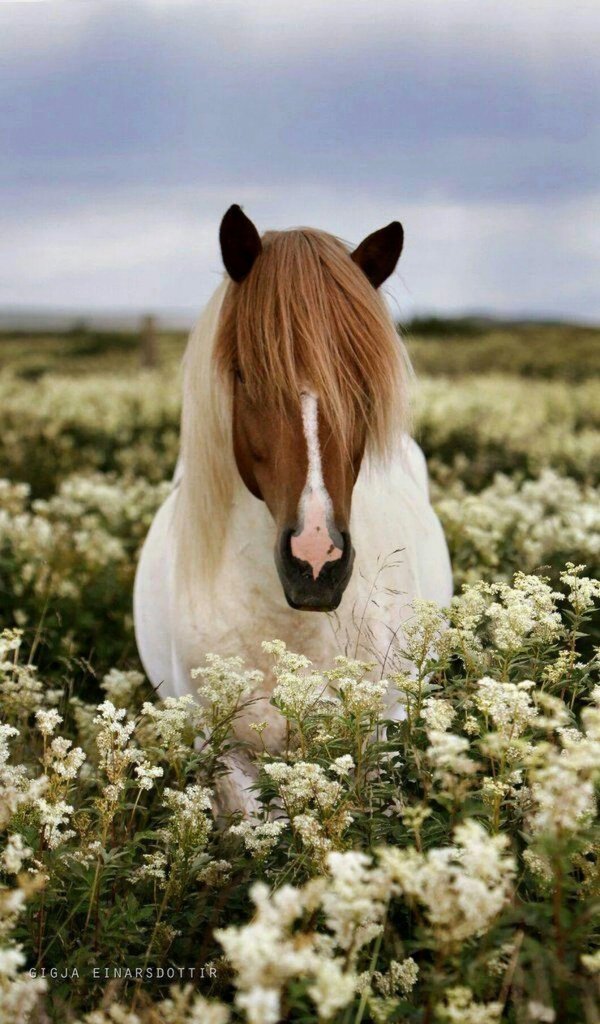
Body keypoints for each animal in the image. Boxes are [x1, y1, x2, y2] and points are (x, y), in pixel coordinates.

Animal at [134, 205, 453, 814]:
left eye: (361, 382)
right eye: (244, 374)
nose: (316, 561)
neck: (285, 628)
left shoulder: (373, 741)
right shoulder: (227, 755)